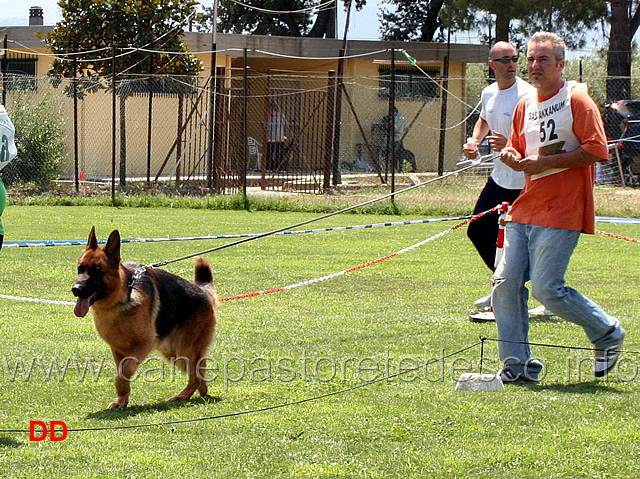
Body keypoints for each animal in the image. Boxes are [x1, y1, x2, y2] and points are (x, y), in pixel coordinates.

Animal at [72, 228, 218, 408]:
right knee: (200, 371)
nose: (75, 289)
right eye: (80, 269)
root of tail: (203, 293)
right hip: (174, 353)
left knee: (196, 376)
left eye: (96, 271)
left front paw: (121, 390)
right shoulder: (118, 350)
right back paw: (200, 391)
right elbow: (122, 371)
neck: (122, 299)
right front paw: (122, 400)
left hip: (184, 349)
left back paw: (182, 396)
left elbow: (125, 371)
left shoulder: (143, 344)